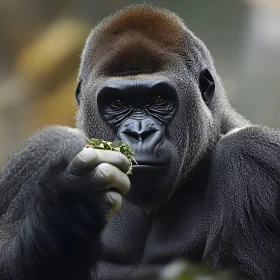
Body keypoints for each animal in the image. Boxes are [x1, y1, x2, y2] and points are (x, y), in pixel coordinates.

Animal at [0, 4, 280, 280]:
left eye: (159, 99)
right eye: (118, 103)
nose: (139, 132)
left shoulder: (251, 154)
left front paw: (72, 206)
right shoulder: (46, 150)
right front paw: (64, 214)